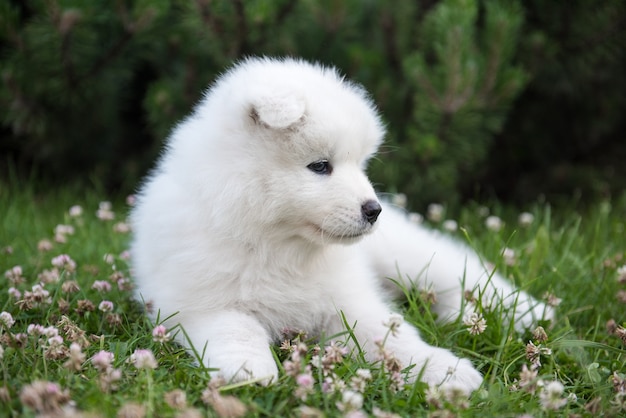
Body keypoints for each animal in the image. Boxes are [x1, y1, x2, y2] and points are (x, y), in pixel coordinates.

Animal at [129, 57, 548, 394]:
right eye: (320, 166)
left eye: (361, 164)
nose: (374, 210)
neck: (280, 246)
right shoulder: (200, 304)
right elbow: (236, 331)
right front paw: (249, 372)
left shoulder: (346, 301)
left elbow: (392, 337)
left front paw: (444, 369)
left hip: (404, 255)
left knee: (460, 271)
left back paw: (528, 311)